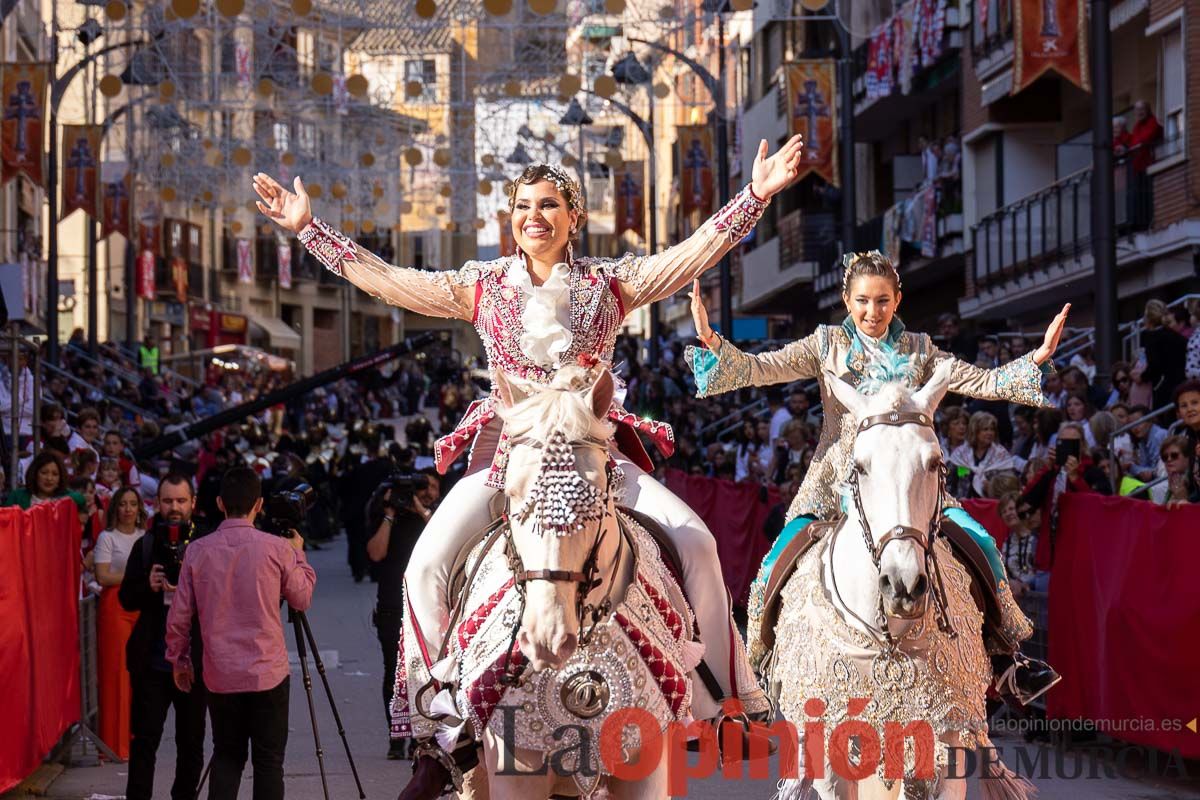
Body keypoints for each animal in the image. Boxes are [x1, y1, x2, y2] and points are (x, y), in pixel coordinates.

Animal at [763, 362, 1036, 800]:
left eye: (935, 462)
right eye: (860, 467)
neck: (887, 639)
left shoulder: (947, 738)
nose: (903, 585)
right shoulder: (832, 751)